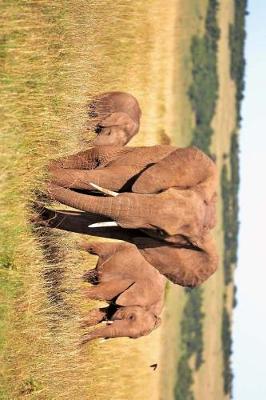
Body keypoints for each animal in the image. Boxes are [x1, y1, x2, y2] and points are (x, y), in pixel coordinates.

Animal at [43, 144, 218, 288]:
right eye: (162, 192)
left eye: (161, 233)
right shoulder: (141, 170)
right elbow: (103, 180)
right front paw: (42, 178)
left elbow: (96, 225)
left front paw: (40, 215)